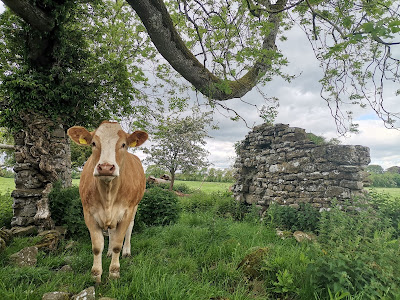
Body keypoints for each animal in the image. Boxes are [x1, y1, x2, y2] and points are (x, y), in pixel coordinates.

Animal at [67, 120, 148, 282]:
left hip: (135, 205)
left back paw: (126, 251)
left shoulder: (126, 211)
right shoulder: (89, 214)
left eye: (123, 144)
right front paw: (96, 275)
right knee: (111, 230)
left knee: (130, 227)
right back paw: (109, 252)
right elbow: (97, 247)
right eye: (93, 143)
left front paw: (114, 272)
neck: (108, 194)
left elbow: (118, 243)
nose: (105, 167)